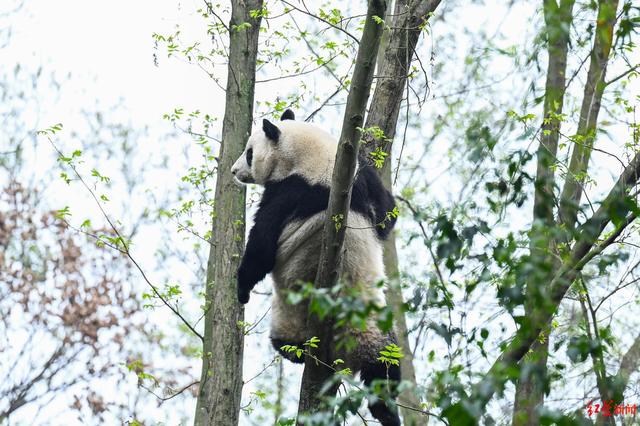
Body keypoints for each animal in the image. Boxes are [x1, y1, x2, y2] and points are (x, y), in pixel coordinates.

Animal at [230, 110, 400, 426]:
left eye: (249, 153)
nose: (235, 172)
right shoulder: (364, 177)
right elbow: (388, 216)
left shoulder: (287, 192)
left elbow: (262, 247)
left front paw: (242, 288)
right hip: (373, 326)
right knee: (386, 365)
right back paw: (387, 409)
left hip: (296, 318)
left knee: (284, 342)